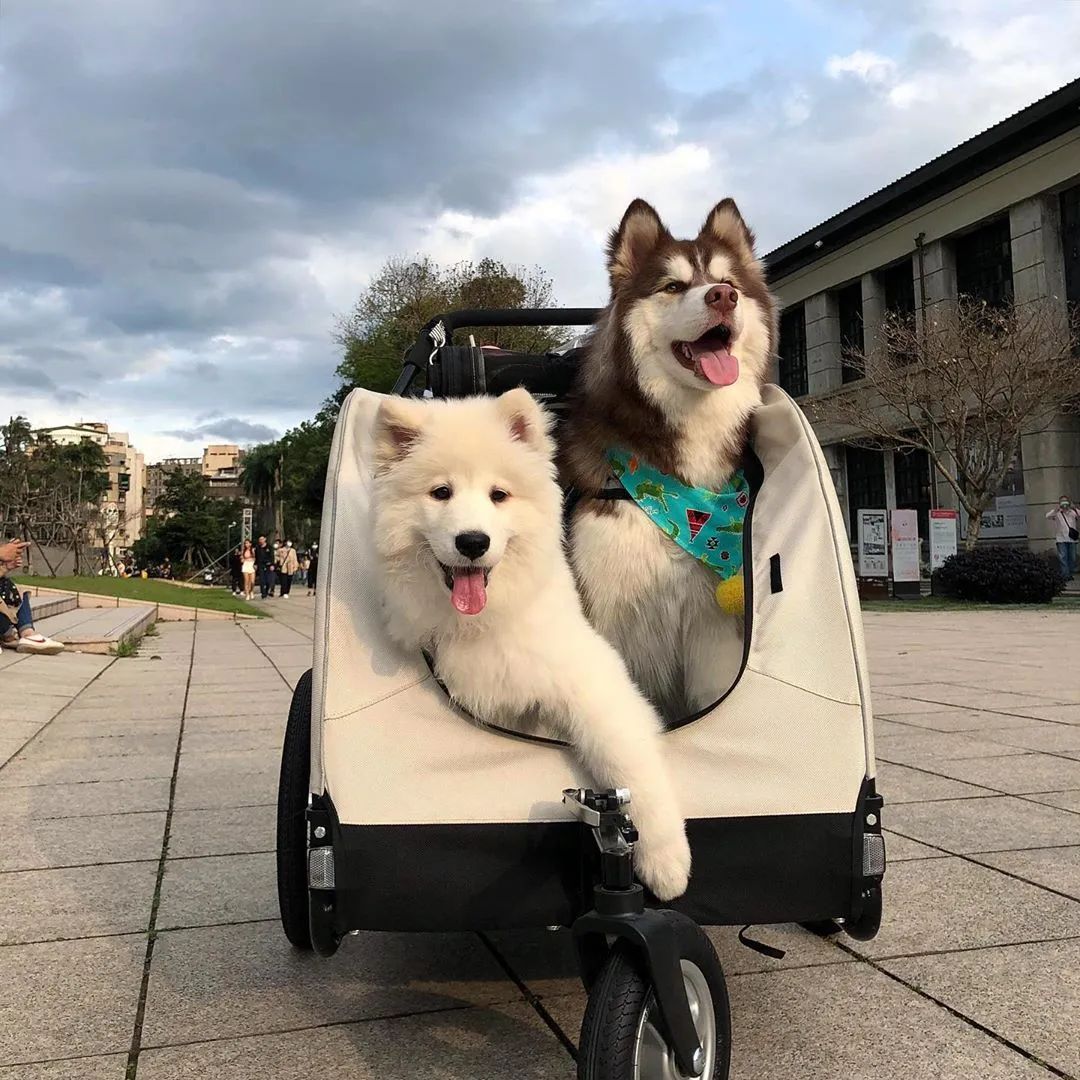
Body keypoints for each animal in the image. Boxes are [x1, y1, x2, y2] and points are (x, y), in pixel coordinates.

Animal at [371, 388, 691, 902]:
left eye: (498, 495)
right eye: (441, 493)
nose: (473, 541)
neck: (487, 623)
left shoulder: (591, 679)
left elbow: (629, 764)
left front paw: (666, 860)